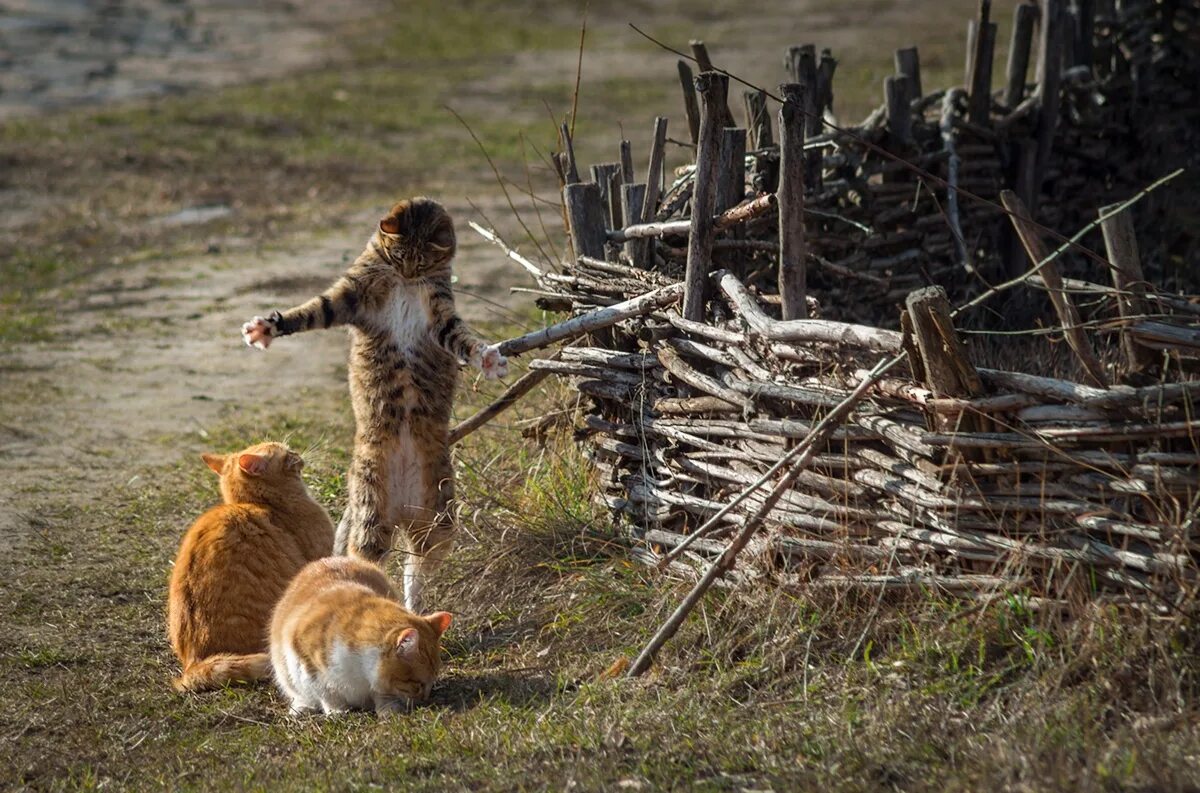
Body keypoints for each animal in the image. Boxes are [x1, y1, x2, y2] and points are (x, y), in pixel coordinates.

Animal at [243, 194, 506, 609]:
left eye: (421, 262)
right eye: (398, 257)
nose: (410, 271)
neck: (404, 284)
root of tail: (400, 508)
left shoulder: (441, 316)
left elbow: (462, 338)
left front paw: (488, 359)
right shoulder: (350, 294)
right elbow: (312, 310)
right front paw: (267, 328)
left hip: (440, 519)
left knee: (415, 567)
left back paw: (414, 607)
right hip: (371, 512)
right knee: (365, 559)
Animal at [270, 554, 451, 715]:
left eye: (433, 680)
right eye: (417, 683)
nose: (425, 700)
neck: (359, 674)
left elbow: (382, 694)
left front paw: (389, 709)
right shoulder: (307, 664)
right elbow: (327, 693)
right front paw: (336, 711)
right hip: (285, 673)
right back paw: (302, 707)